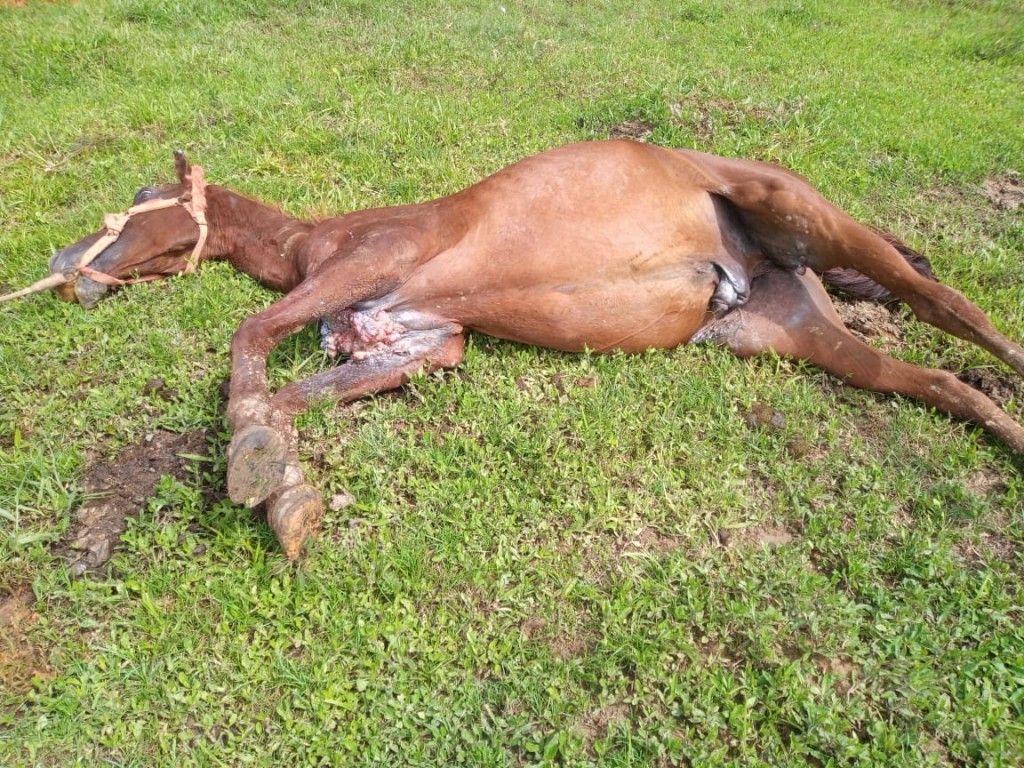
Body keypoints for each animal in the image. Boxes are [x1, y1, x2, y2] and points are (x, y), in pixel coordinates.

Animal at [2, 141, 1024, 561]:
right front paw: (281, 482)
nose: (60, 268)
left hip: (804, 210)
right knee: (935, 378)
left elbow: (248, 339)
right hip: (783, 332)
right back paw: (1005, 432)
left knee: (946, 303)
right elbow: (295, 396)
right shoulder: (418, 342)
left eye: (142, 198)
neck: (314, 240)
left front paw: (255, 461)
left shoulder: (371, 265)